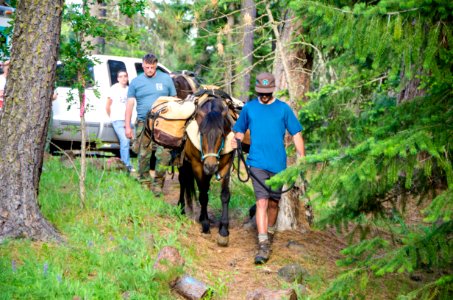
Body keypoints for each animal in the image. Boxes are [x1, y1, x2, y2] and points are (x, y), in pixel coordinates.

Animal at [177, 95, 233, 246]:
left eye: (222, 134)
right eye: (201, 133)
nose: (210, 166)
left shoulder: (227, 164)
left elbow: (225, 195)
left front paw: (223, 230)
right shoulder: (197, 165)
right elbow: (202, 195)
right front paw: (206, 225)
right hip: (184, 163)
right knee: (183, 181)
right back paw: (181, 208)